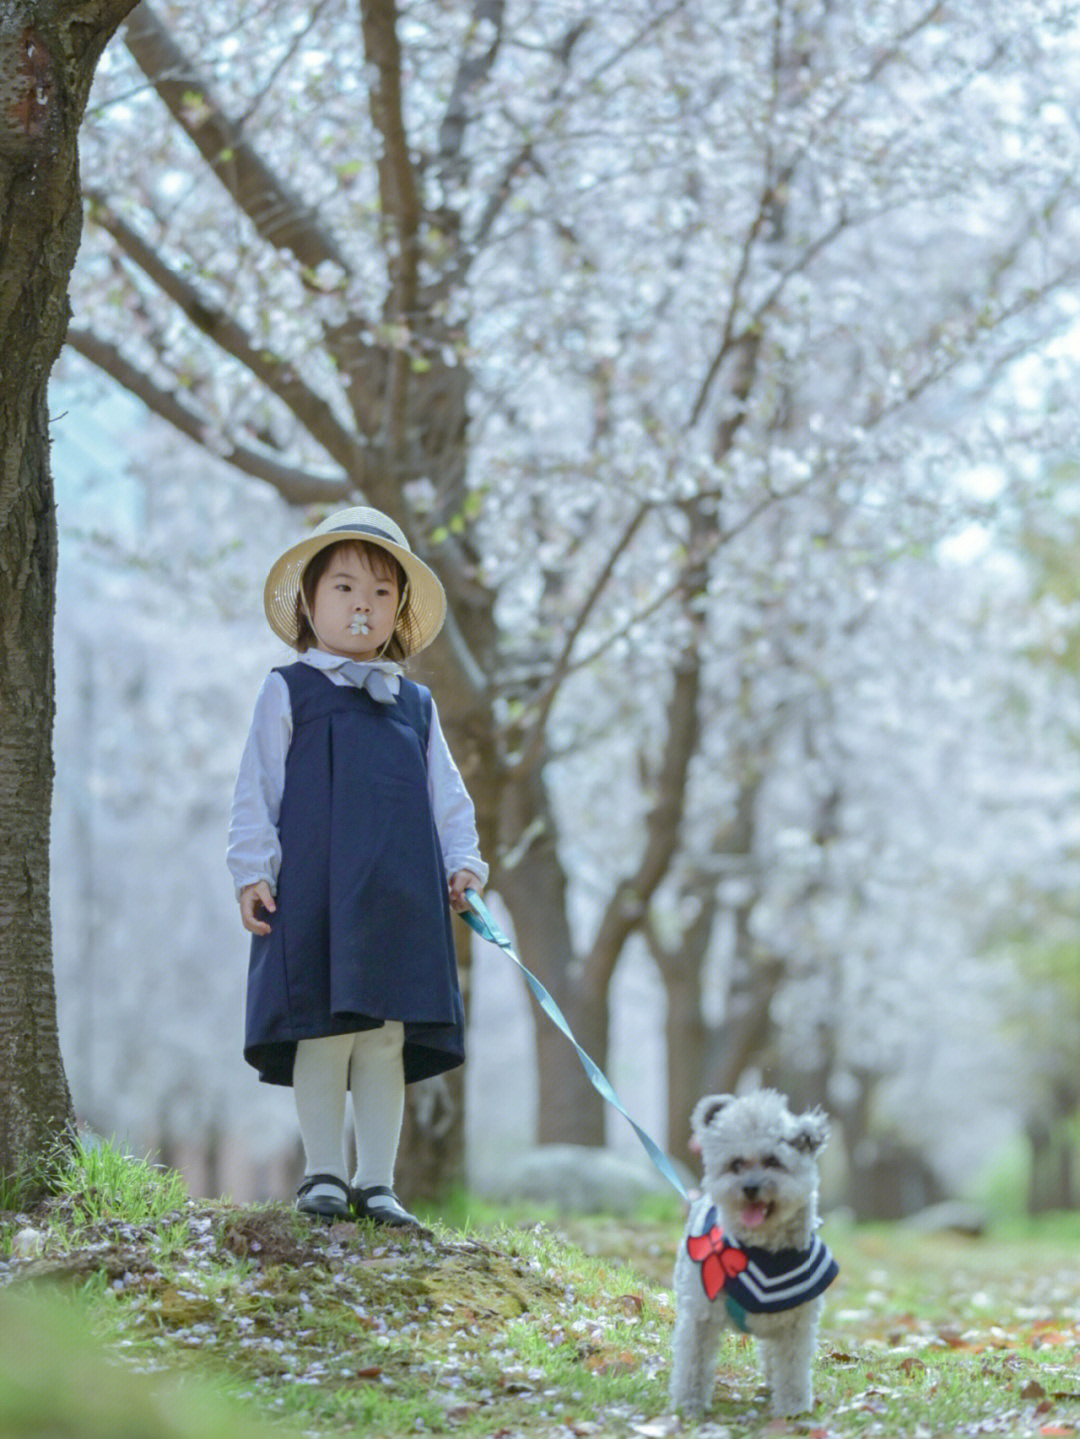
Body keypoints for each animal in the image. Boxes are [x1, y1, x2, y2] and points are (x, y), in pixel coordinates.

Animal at [673, 1087, 839, 1415]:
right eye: (736, 1164)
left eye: (773, 1161)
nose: (749, 1188)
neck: (762, 1254)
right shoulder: (700, 1316)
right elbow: (693, 1364)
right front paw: (689, 1404)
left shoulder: (795, 1327)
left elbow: (792, 1370)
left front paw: (793, 1409)